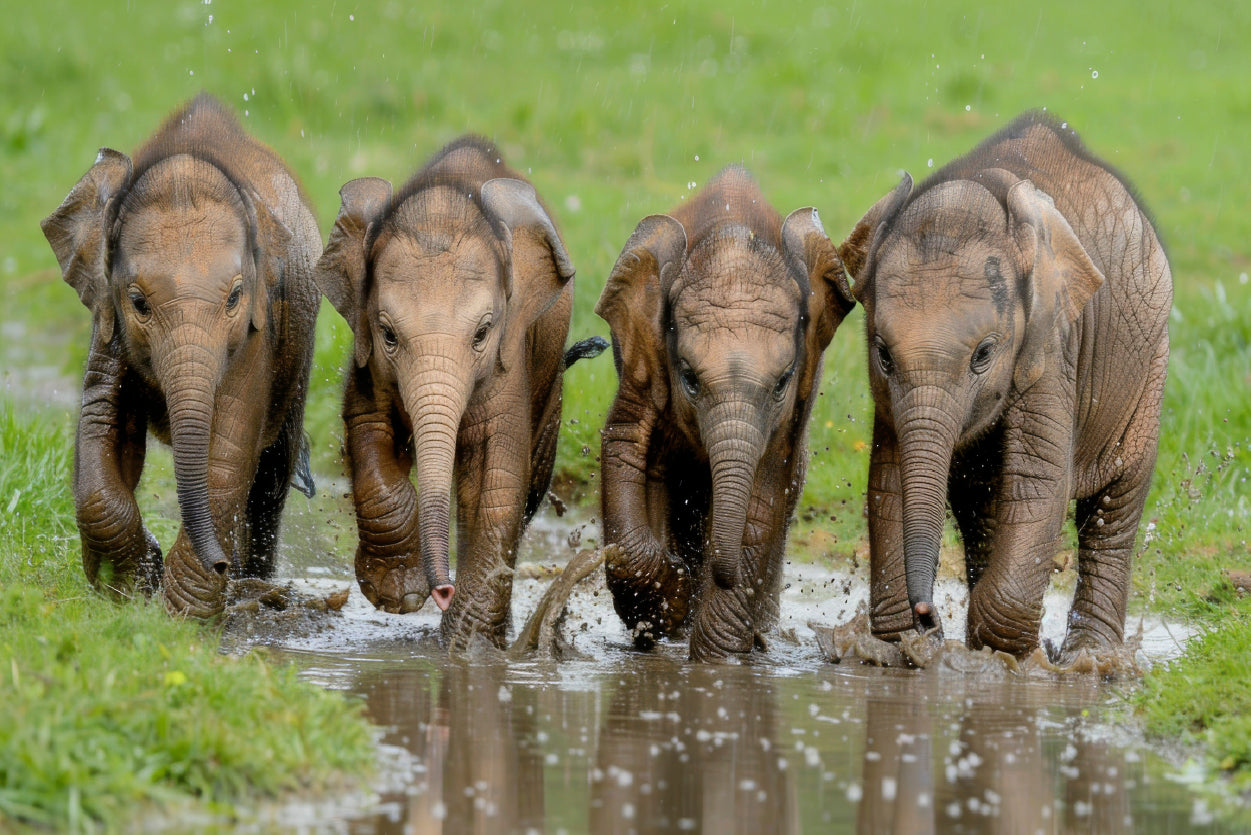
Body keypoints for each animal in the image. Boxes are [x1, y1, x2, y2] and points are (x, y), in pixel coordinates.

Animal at [40, 93, 322, 616]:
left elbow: (229, 446)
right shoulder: (107, 322)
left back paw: (253, 582)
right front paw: (131, 588)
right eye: (138, 303)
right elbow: (99, 424)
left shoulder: (258, 330)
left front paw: (182, 617)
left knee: (271, 477)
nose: (220, 564)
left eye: (234, 297)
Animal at [314, 135, 591, 650]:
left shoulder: (509, 355)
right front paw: (398, 595)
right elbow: (368, 432)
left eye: (482, 333)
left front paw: (468, 648)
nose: (441, 590)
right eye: (388, 334)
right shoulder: (366, 359)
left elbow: (493, 474)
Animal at [597, 165, 856, 662]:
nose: (723, 573)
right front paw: (670, 604)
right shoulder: (645, 355)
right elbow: (623, 446)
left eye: (782, 381)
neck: (731, 239)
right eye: (689, 377)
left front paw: (720, 661)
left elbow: (763, 495)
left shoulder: (791, 407)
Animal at [843, 111, 1171, 661]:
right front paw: (906, 650)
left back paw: (1091, 658)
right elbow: (890, 479)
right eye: (884, 354)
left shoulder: (1051, 348)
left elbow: (1040, 481)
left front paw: (1010, 658)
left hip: (1150, 366)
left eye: (983, 355)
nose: (927, 612)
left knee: (1113, 506)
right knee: (983, 511)